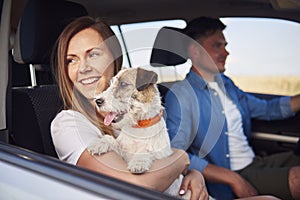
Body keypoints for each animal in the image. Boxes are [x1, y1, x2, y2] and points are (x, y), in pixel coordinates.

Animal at [86, 67, 190, 200]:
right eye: (111, 84)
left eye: (123, 84)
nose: (98, 101)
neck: (139, 127)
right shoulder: (123, 152)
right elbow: (112, 140)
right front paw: (99, 143)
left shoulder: (163, 155)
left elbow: (148, 151)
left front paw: (138, 162)